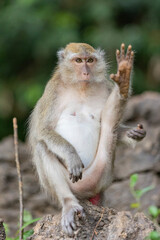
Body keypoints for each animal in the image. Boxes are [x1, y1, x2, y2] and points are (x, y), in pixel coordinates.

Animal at [28, 42, 146, 236]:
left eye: (89, 60)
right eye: (78, 61)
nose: (85, 72)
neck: (80, 87)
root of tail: (87, 194)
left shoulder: (105, 86)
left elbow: (110, 124)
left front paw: (123, 78)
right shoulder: (52, 90)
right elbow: (43, 131)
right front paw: (71, 155)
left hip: (102, 175)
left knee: (109, 125)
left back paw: (122, 85)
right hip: (72, 184)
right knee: (42, 147)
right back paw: (69, 204)